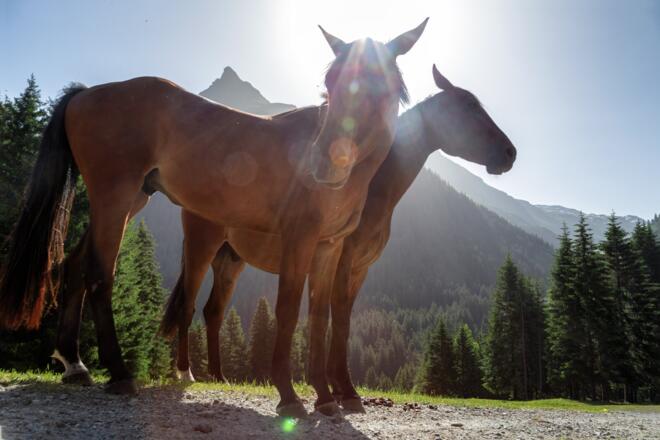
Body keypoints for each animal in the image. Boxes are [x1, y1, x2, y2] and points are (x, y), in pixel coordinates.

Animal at [0, 20, 429, 418]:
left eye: (382, 86)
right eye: (330, 82)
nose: (322, 163)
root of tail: (86, 94)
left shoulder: (329, 247)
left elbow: (320, 317)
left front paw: (326, 397)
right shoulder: (299, 240)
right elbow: (288, 310)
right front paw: (290, 395)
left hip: (130, 200)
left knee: (74, 266)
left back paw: (75, 364)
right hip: (115, 199)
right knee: (100, 276)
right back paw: (119, 373)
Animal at [162, 65, 517, 412]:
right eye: (469, 107)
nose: (509, 153)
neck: (369, 184)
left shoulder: (358, 269)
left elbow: (336, 320)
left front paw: (333, 389)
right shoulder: (342, 262)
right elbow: (339, 319)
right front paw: (341, 389)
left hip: (230, 261)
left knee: (213, 311)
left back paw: (218, 376)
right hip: (201, 247)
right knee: (187, 306)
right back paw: (186, 373)